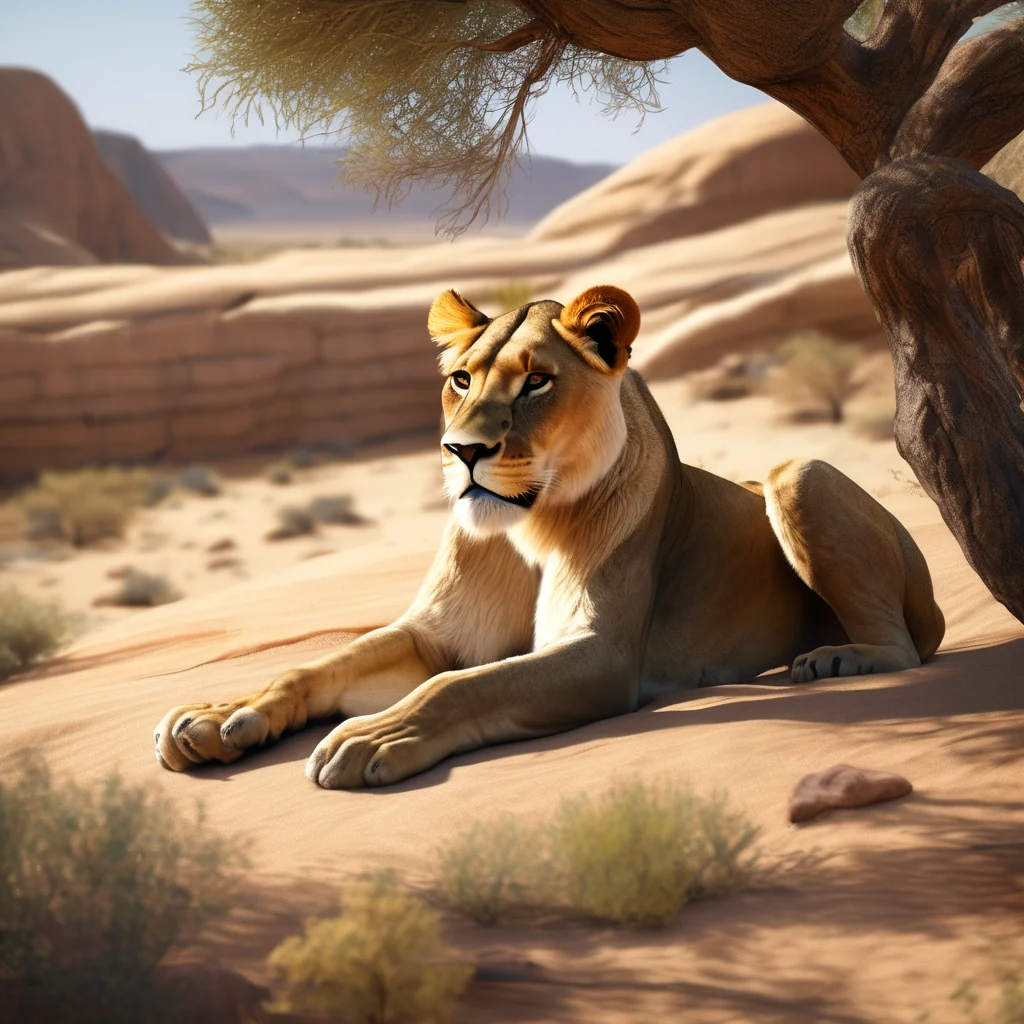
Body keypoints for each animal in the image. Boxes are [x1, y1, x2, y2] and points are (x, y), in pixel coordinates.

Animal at [155, 285, 945, 789]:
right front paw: (217, 717)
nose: (461, 450)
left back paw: (838, 659)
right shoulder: (435, 635)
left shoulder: (603, 655)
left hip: (797, 473)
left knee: (905, 648)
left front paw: (369, 737)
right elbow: (317, 667)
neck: (525, 531)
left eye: (536, 382)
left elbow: (462, 686)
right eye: (461, 380)